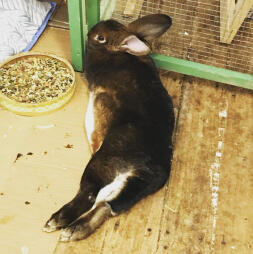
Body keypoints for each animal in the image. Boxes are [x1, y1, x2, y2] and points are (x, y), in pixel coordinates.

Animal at [43, 14, 174, 242]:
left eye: (101, 38)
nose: (90, 32)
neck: (118, 51)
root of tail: (146, 168)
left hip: (102, 163)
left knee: (89, 194)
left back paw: (57, 222)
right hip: (128, 187)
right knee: (106, 205)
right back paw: (74, 231)